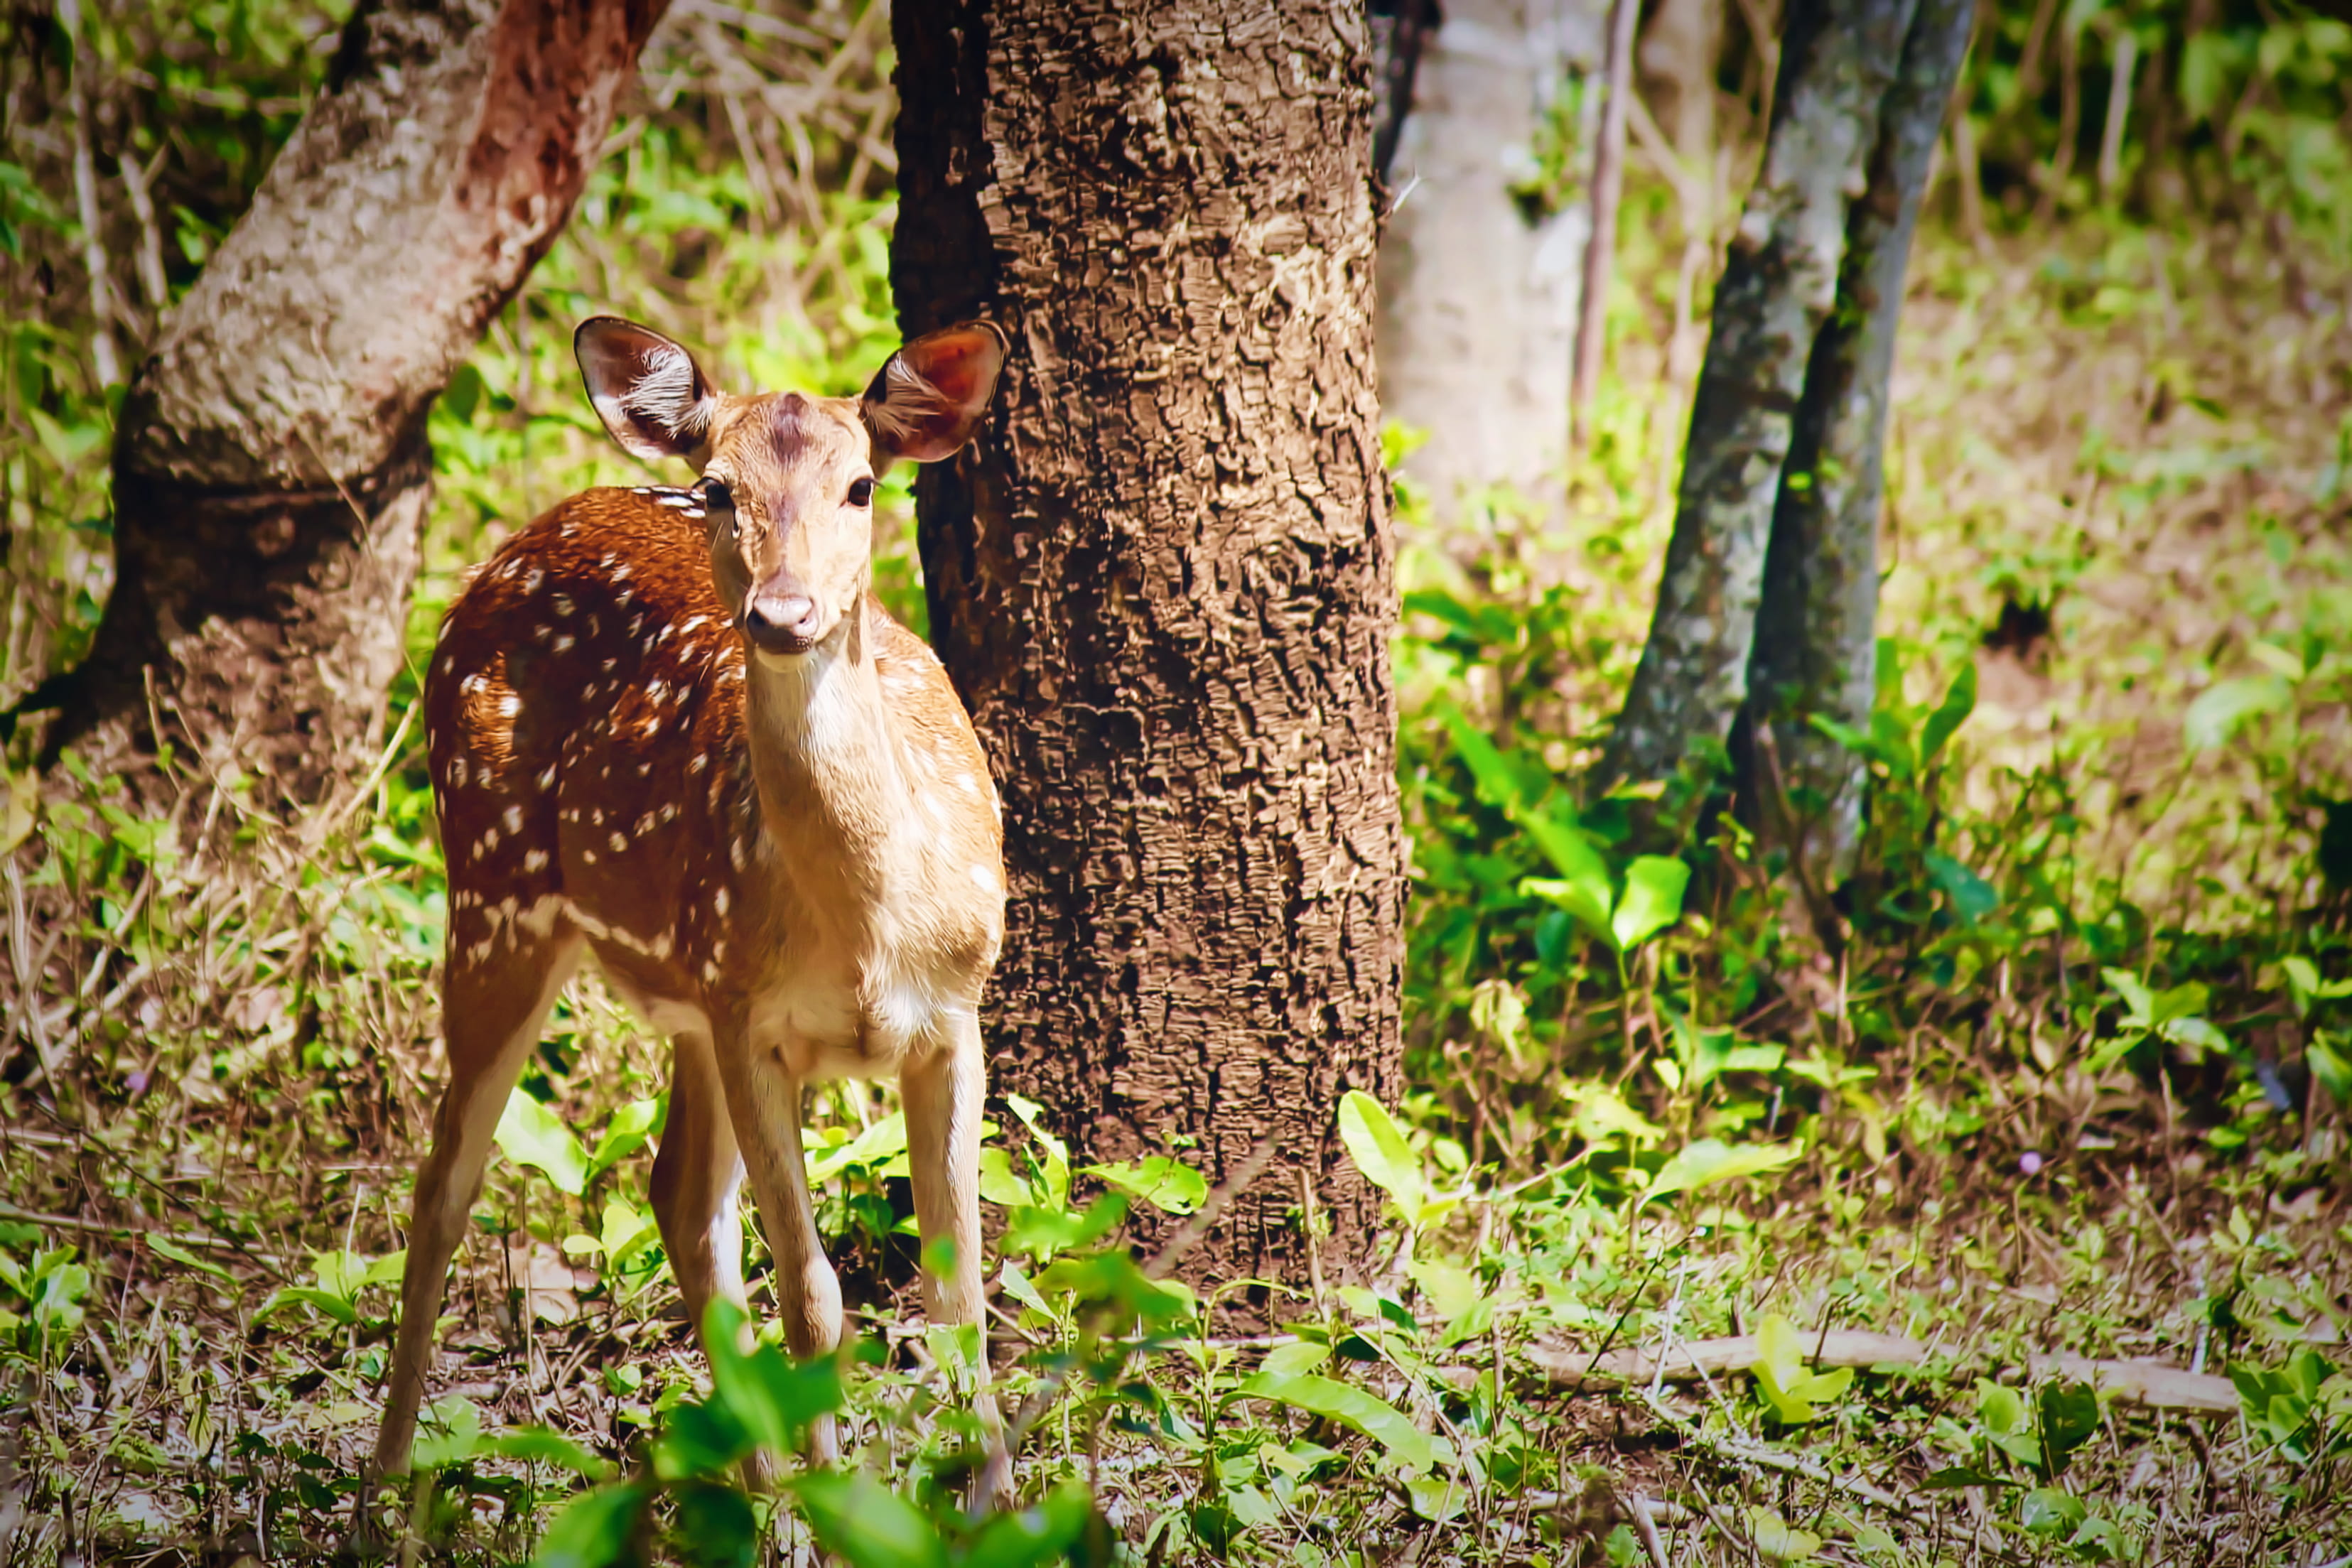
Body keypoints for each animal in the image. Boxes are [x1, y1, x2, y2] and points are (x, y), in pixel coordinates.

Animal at [372, 315, 1013, 1500]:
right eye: (719, 487)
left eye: (862, 484)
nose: (784, 612)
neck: (866, 931)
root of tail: (525, 533)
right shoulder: (752, 1020)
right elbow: (815, 1297)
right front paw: (839, 1504)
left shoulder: (954, 1010)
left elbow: (959, 1292)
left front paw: (993, 1503)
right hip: (495, 888)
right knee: (445, 1185)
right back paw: (382, 1494)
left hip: (680, 985)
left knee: (677, 1192)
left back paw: (753, 1487)